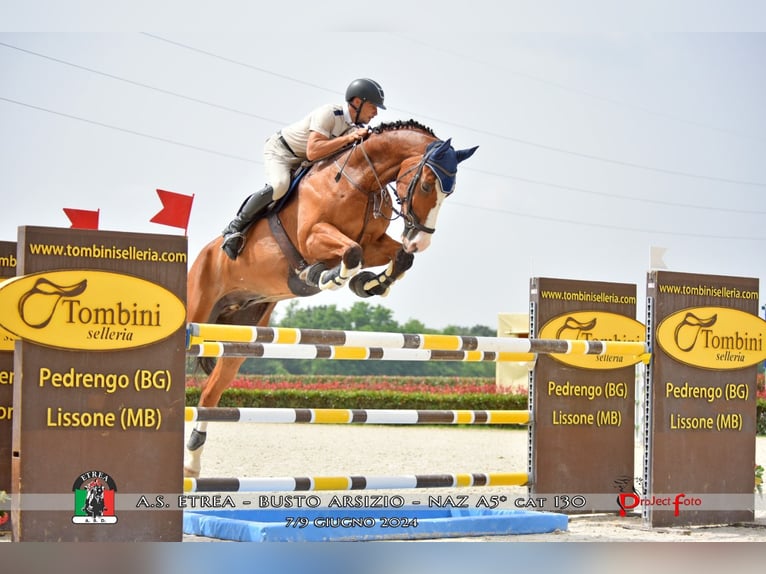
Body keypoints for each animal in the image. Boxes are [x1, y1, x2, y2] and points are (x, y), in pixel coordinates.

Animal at [184, 120, 476, 476]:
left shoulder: (375, 240)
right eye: (426, 185)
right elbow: (351, 252)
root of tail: (203, 254)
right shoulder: (313, 237)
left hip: (240, 337)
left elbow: (397, 257)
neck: (360, 181)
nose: (420, 241)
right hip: (197, 310)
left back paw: (193, 461)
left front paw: (370, 284)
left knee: (211, 392)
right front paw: (324, 276)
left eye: (449, 192)